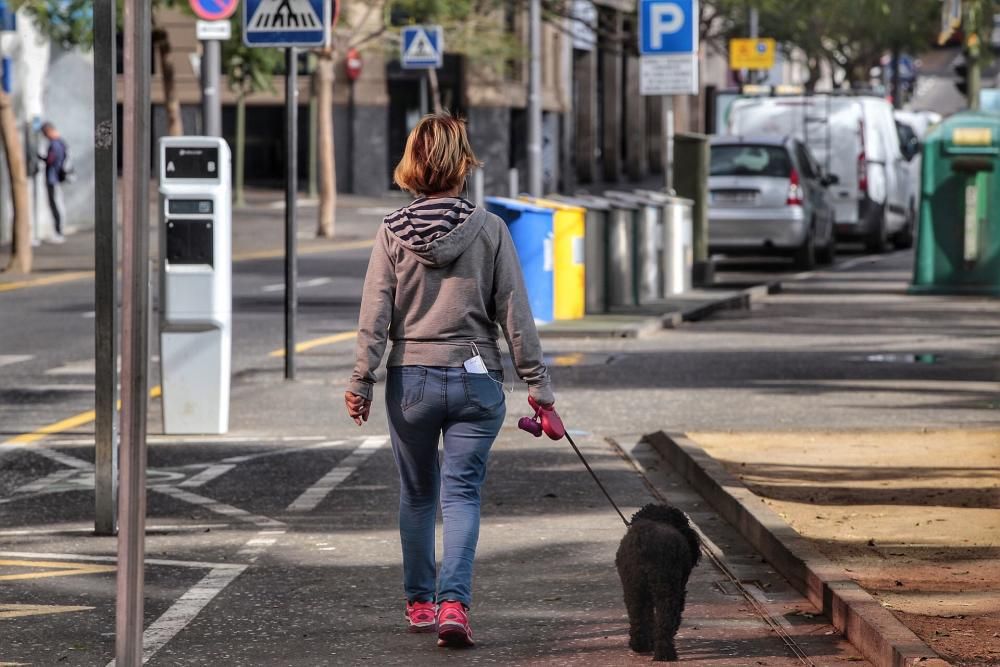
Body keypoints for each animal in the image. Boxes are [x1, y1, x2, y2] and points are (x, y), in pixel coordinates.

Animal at [612, 504, 700, 660]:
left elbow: (648, 616)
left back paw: (642, 646)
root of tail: (644, 542)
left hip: (635, 587)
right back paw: (664, 652)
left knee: (638, 616)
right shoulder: (679, 589)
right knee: (666, 619)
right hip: (666, 587)